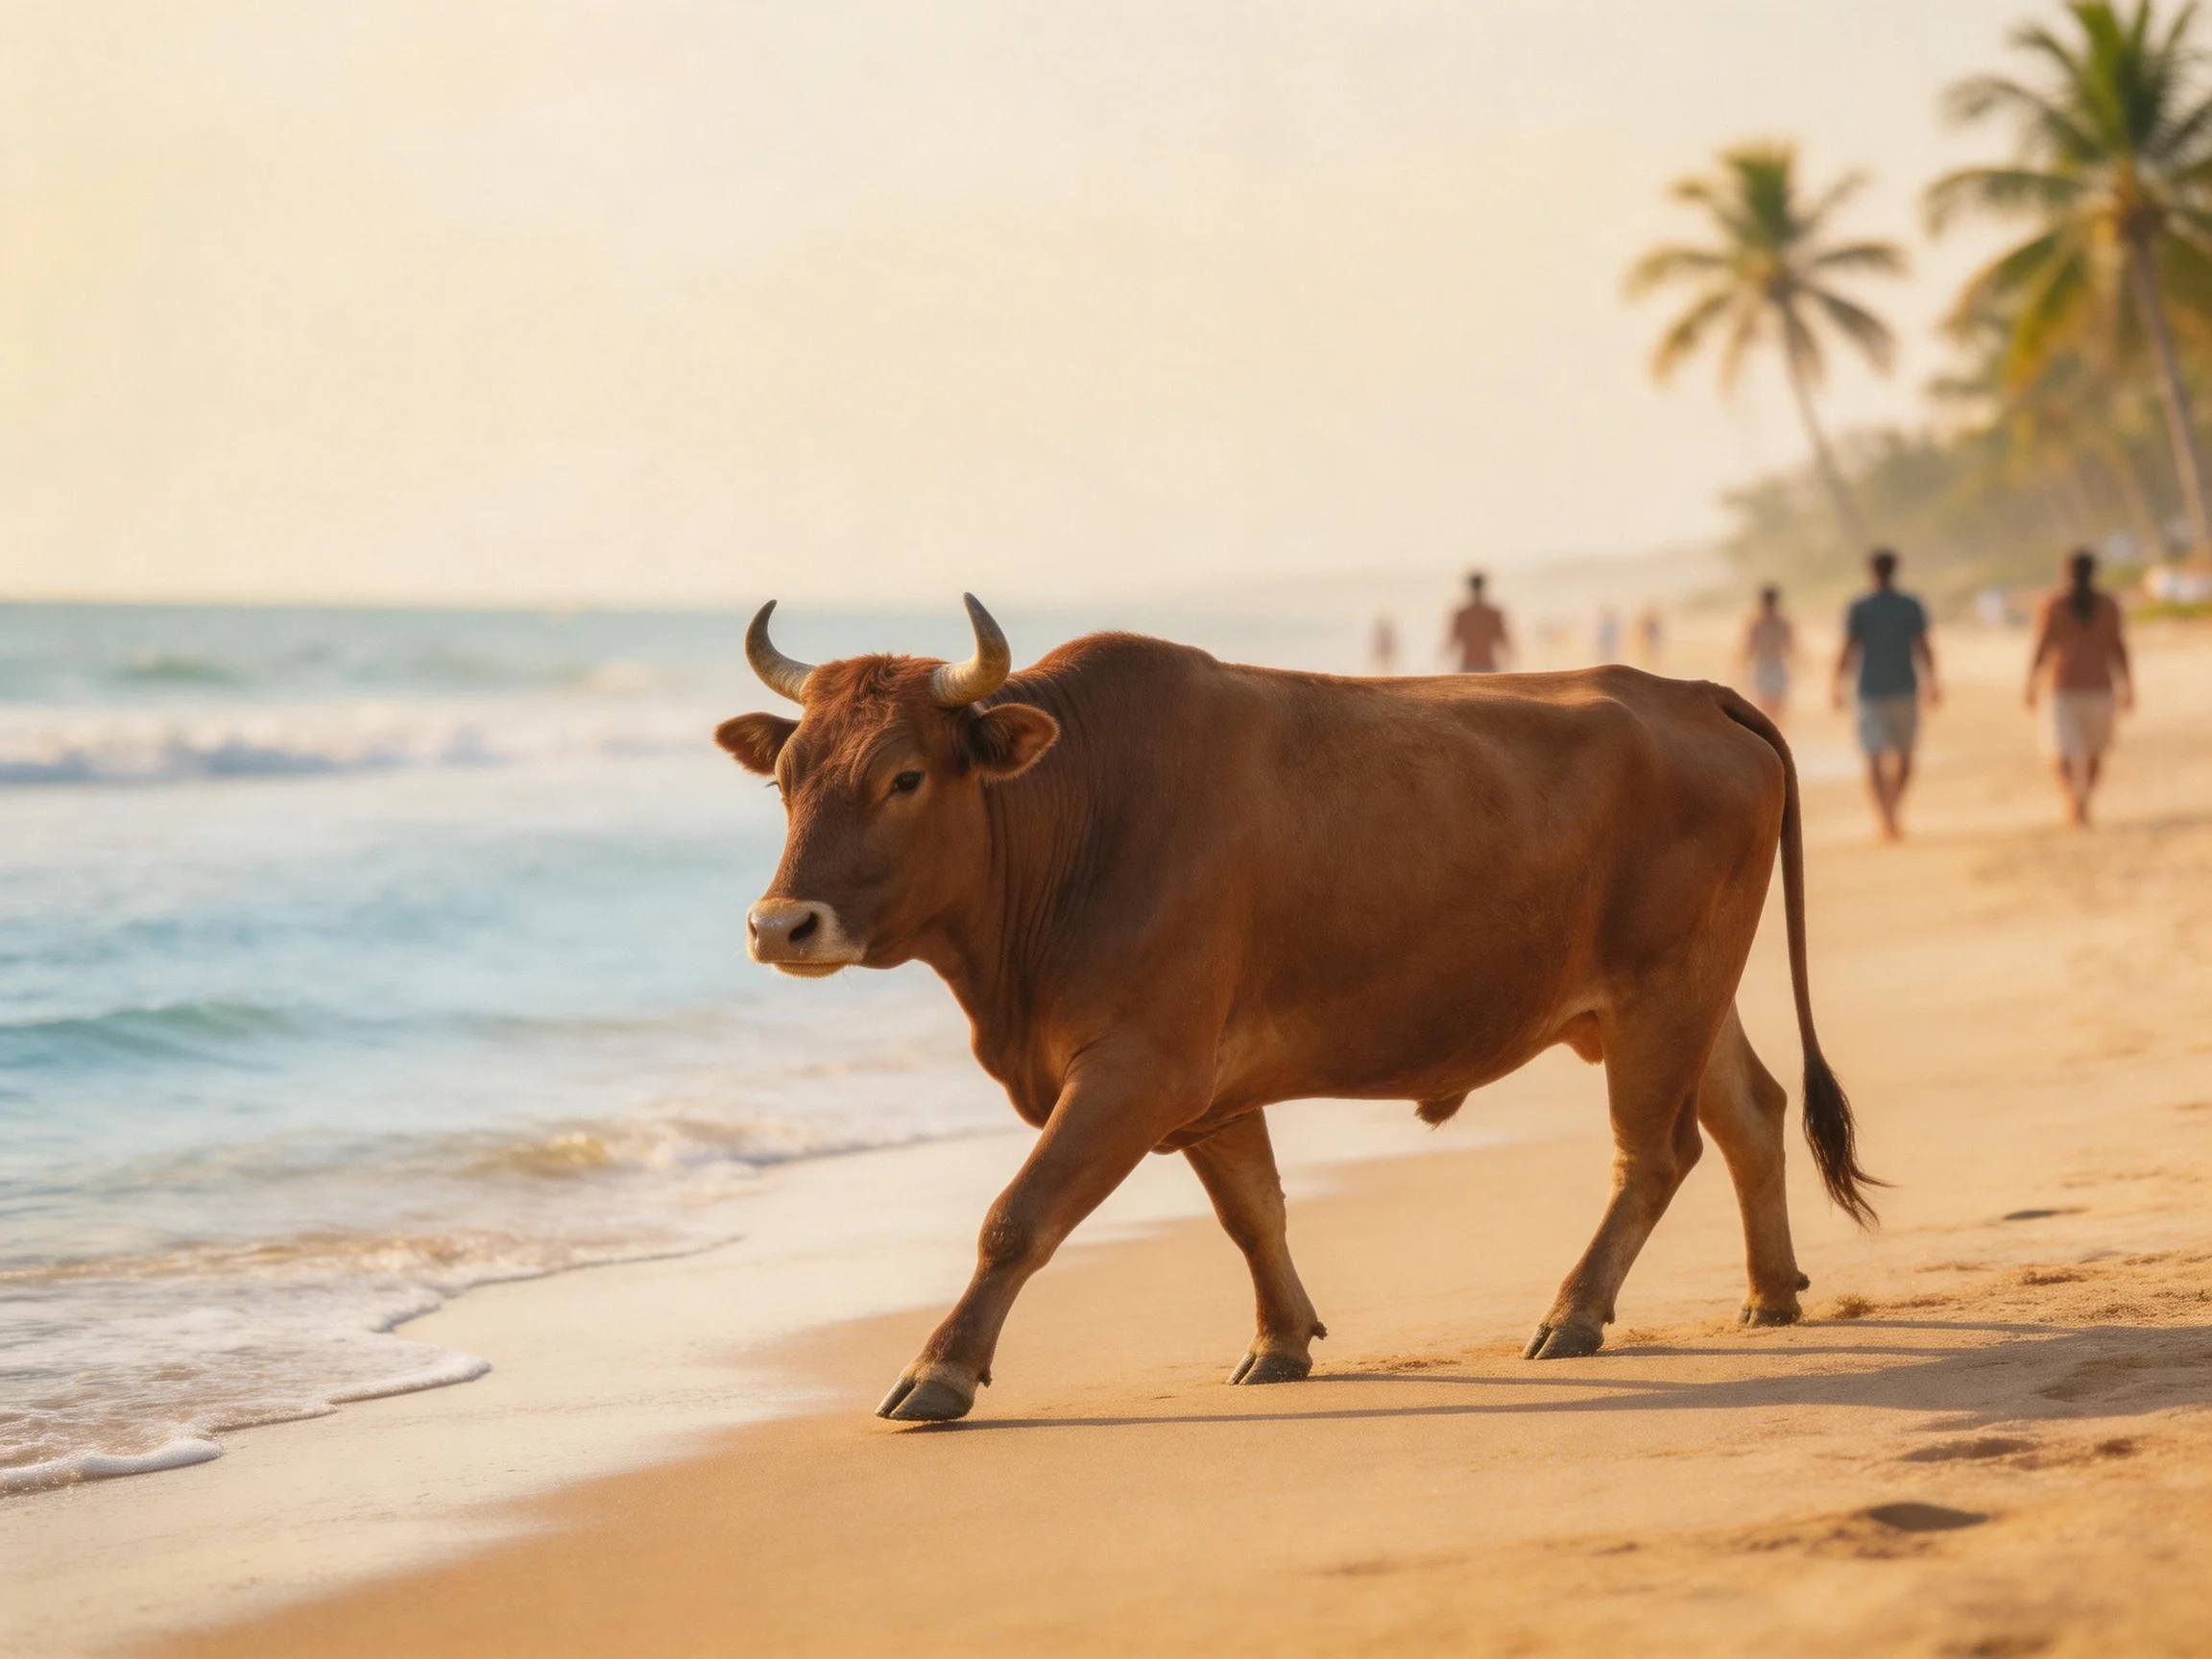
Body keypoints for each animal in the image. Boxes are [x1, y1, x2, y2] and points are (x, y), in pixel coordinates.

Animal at [716, 595, 1877, 1423]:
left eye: (905, 776)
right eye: (786, 778)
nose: (781, 925)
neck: (1076, 815)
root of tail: (1693, 692)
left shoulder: (1140, 1065)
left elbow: (1019, 1216)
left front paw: (940, 1370)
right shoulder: (1209, 1086)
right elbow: (1253, 1212)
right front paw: (1281, 1340)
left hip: (1661, 994)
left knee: (1657, 1153)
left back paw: (1575, 1310)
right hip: (1684, 994)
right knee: (1752, 1112)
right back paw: (1771, 1291)